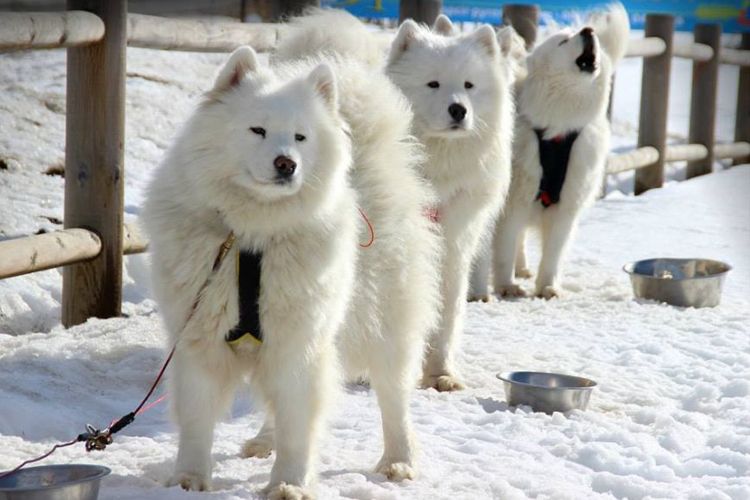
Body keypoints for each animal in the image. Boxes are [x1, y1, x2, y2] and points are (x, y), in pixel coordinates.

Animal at [142, 41, 440, 498]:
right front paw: (189, 479)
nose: (287, 163)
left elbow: (299, 425)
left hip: (386, 326)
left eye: (301, 137)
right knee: (272, 405)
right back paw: (263, 440)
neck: (253, 239)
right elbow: (197, 418)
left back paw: (398, 461)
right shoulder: (199, 339)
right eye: (258, 130)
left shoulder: (299, 345)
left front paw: (288, 484)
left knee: (394, 399)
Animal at [384, 14, 520, 390]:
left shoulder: (454, 245)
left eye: (469, 85)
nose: (458, 109)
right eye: (433, 84)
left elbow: (447, 311)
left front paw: (440, 374)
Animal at [482, 3, 636, 298]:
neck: (558, 125)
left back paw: (524, 270)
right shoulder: (513, 201)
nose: (588, 31)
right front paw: (506, 286)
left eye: (590, 35)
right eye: (564, 41)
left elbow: (553, 252)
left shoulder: (567, 204)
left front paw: (548, 287)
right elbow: (505, 246)